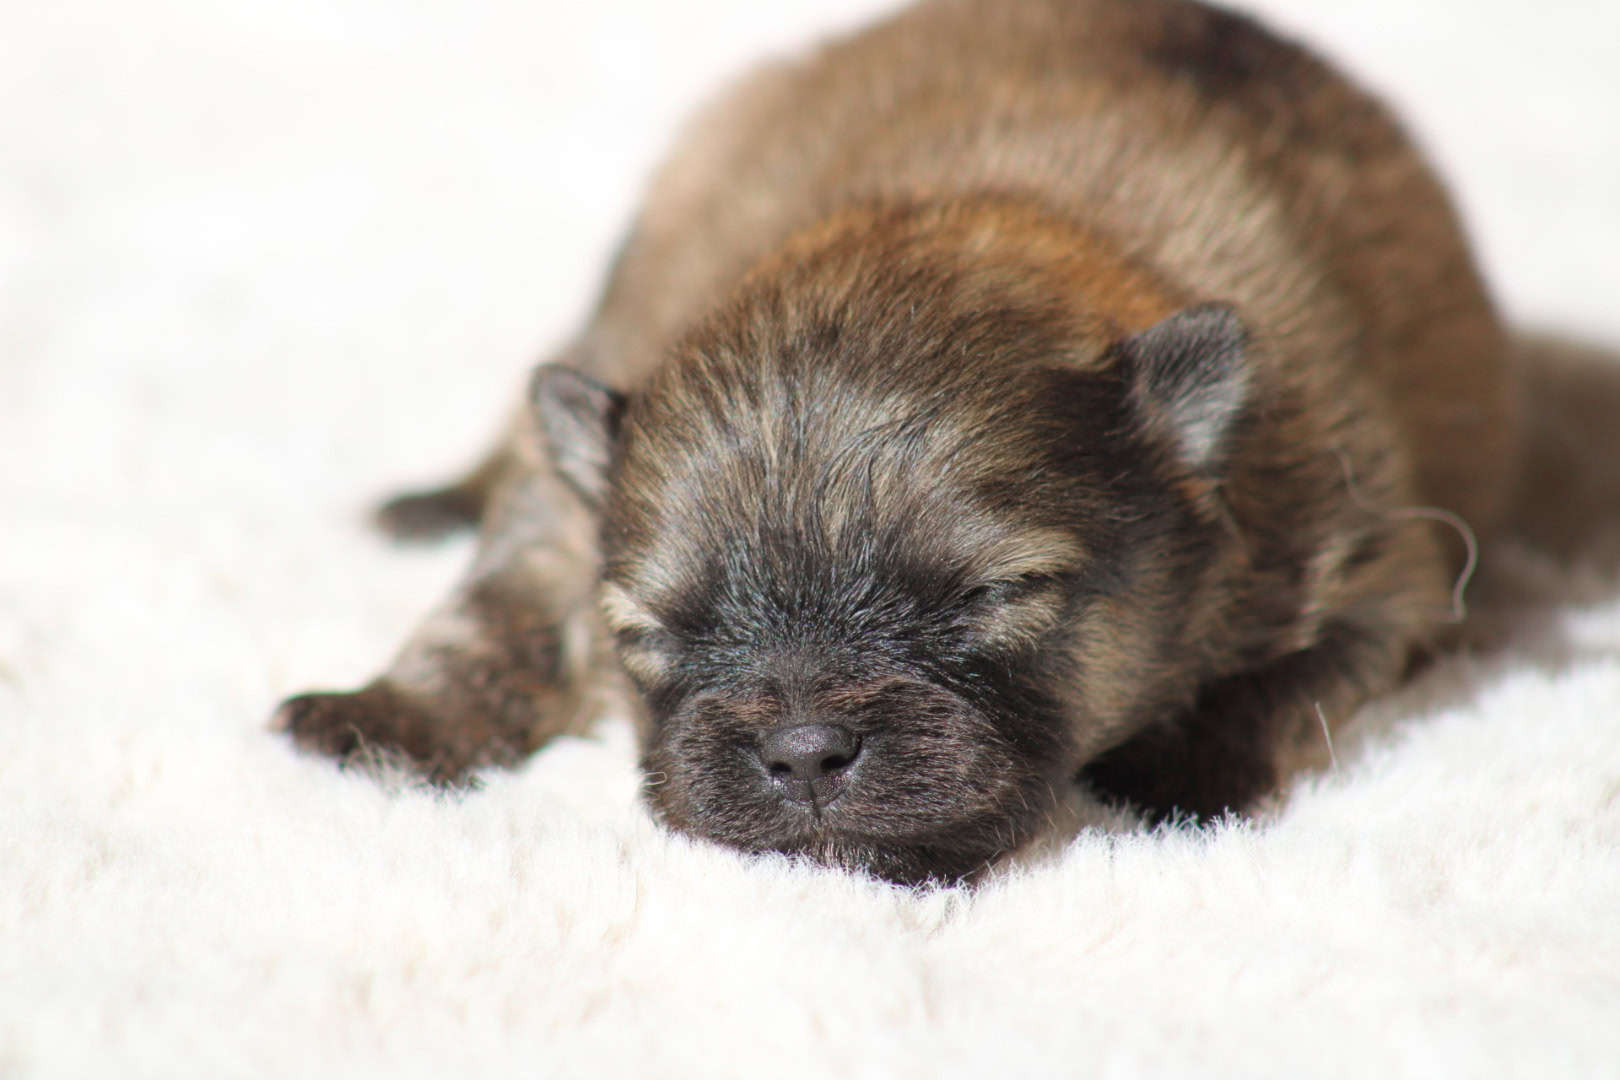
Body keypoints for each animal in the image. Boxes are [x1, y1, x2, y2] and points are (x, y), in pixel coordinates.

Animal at [275, 0, 1516, 887]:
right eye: (654, 633)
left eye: (992, 597)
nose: (804, 753)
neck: (979, 213)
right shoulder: (561, 497)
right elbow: (496, 611)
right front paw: (386, 723)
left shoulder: (1369, 552)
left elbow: (1292, 681)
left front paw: (1178, 771)